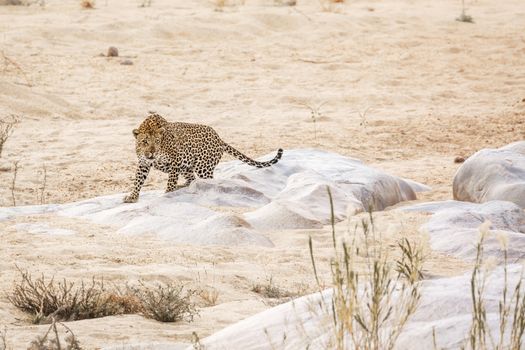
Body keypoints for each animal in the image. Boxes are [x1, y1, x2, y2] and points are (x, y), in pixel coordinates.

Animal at [123, 113, 282, 202]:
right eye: (145, 141)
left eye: (157, 141)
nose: (152, 153)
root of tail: (219, 138)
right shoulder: (143, 163)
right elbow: (138, 180)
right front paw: (132, 196)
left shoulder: (175, 160)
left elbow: (171, 180)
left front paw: (168, 192)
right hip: (187, 166)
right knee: (191, 178)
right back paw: (184, 185)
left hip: (203, 167)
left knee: (209, 180)